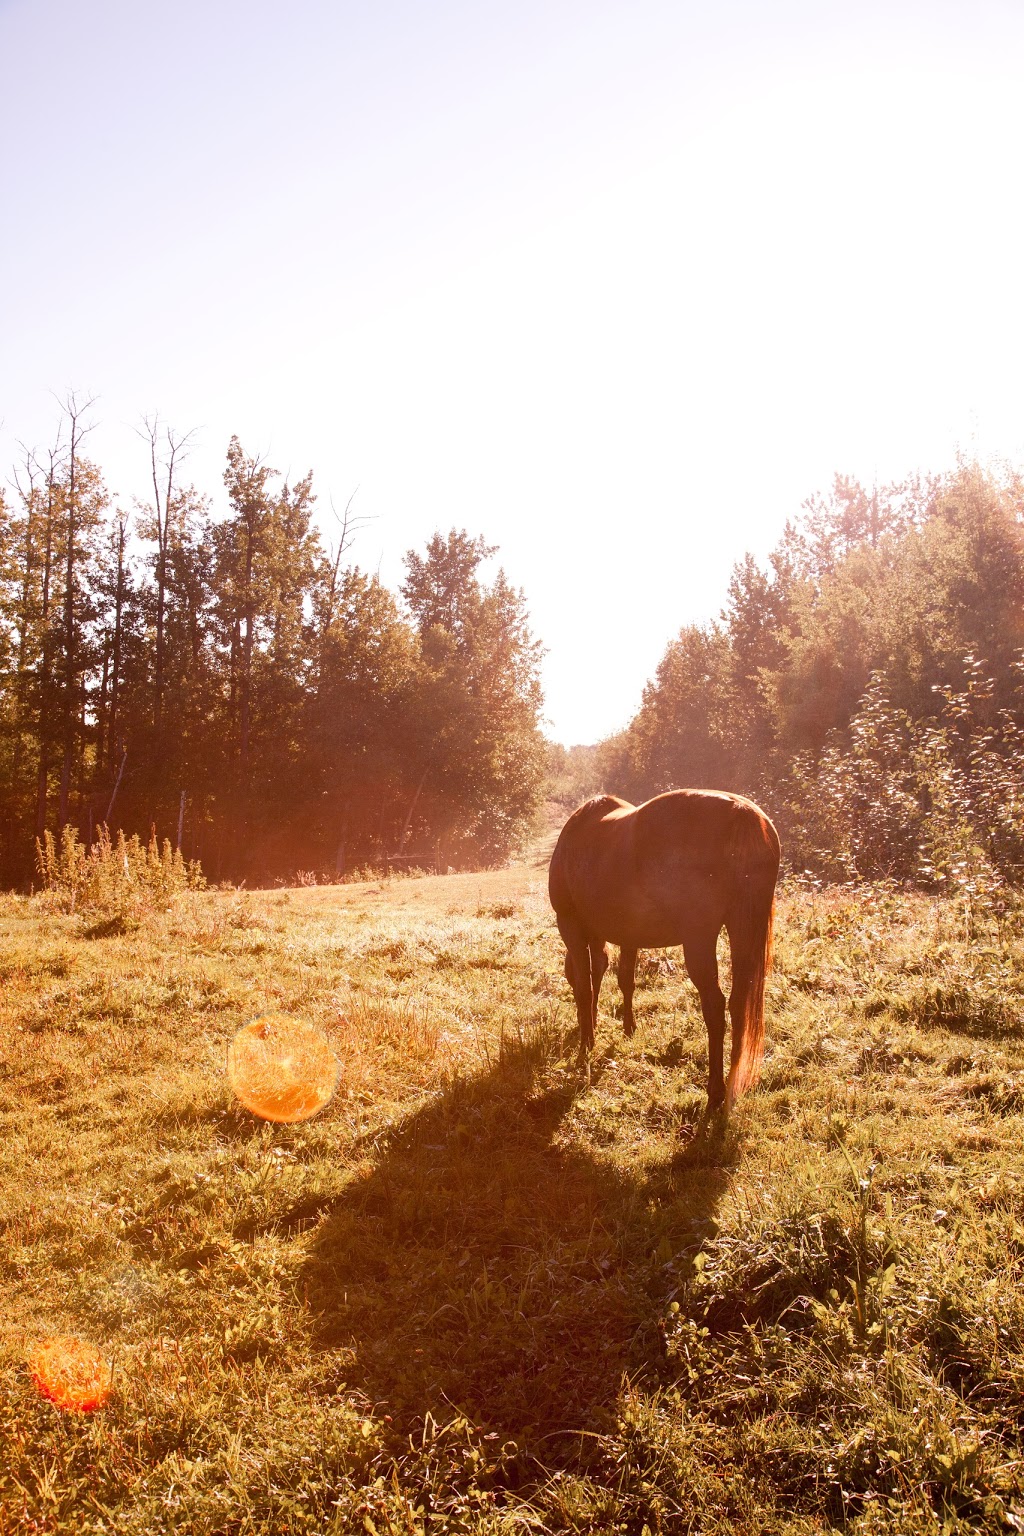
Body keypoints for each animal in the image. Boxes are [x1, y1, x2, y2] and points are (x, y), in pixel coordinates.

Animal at [549, 798, 779, 1112]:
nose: (580, 1026)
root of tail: (741, 812)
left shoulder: (570, 925)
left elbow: (585, 985)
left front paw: (586, 1045)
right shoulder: (625, 935)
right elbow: (623, 980)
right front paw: (624, 1028)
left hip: (699, 941)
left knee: (715, 1007)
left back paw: (715, 1091)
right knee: (737, 1005)